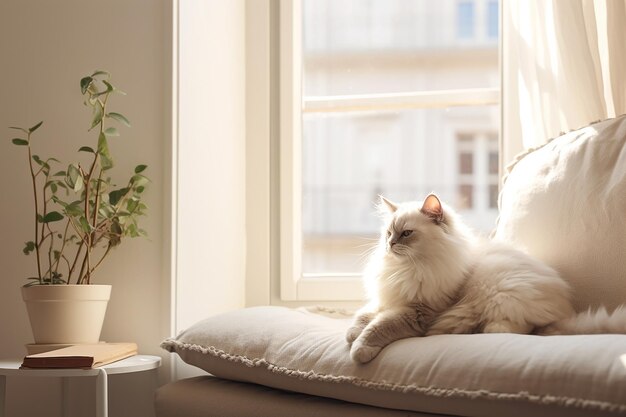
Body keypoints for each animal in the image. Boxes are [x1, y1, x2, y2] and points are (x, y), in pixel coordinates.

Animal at [346, 193, 624, 362]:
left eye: (406, 234)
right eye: (388, 233)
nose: (390, 245)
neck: (408, 269)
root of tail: (565, 310)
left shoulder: (418, 312)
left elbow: (379, 327)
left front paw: (359, 351)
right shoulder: (387, 300)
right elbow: (363, 317)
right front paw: (350, 335)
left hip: (498, 292)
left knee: (524, 328)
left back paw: (485, 328)